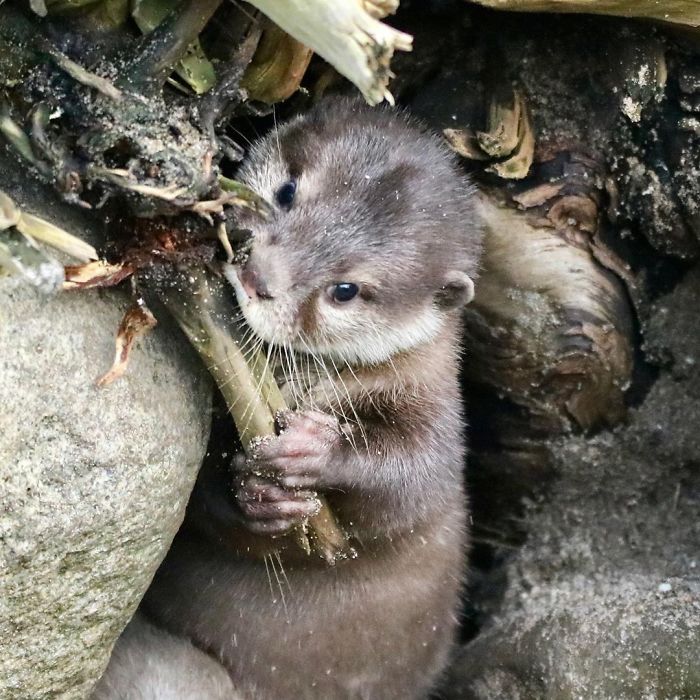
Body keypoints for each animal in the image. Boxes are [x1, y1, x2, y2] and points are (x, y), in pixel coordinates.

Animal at [93, 97, 482, 700]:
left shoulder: (436, 402)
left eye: (346, 290)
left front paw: (313, 451)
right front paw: (259, 497)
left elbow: (411, 486)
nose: (258, 273)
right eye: (287, 191)